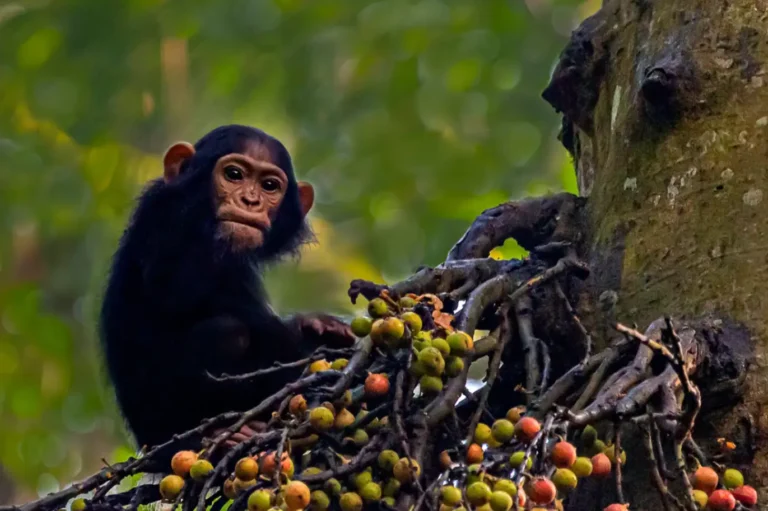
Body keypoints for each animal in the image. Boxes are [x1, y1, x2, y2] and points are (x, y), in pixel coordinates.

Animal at [99, 124, 354, 451]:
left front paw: (320, 327)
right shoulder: (170, 229)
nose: (249, 200)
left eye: (269, 185)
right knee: (228, 332)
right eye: (234, 174)